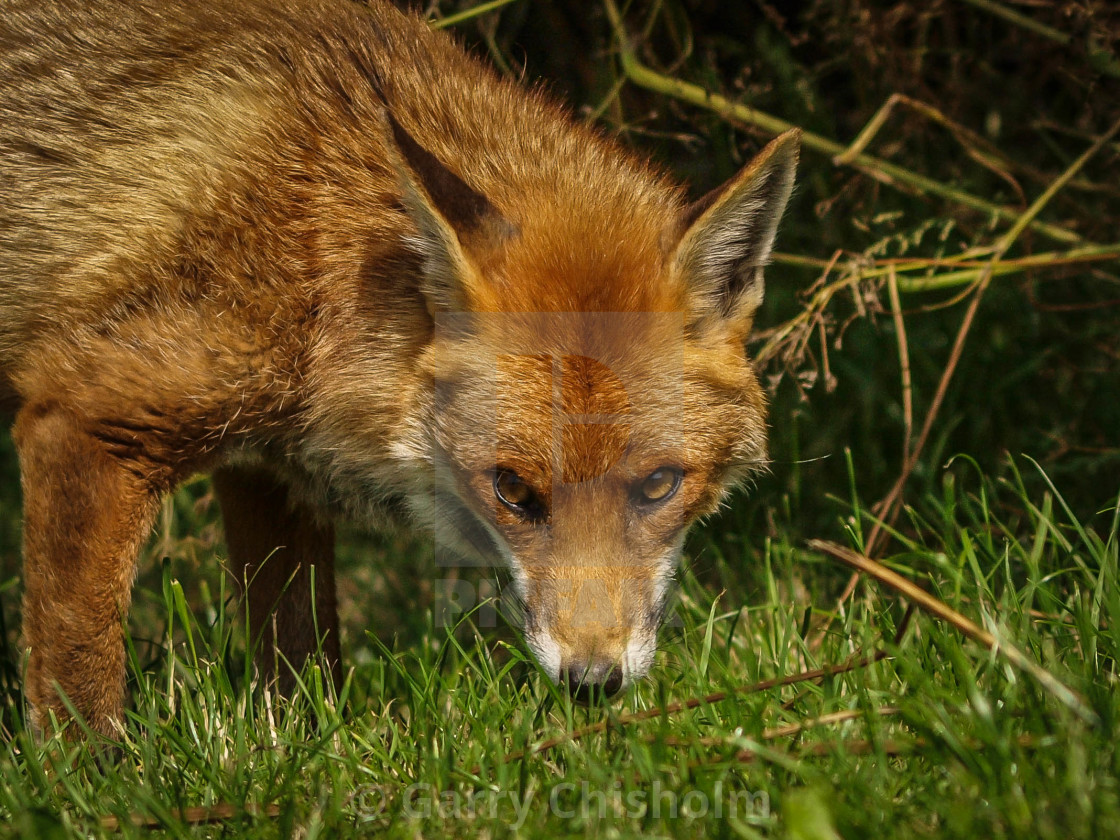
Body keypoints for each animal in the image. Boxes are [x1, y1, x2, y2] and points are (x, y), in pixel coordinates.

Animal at [4, 0, 801, 734]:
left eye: (659, 485)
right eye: (513, 492)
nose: (592, 682)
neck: (317, 262)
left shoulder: (266, 473)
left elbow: (298, 653)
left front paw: (301, 749)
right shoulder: (87, 413)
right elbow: (78, 675)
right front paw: (91, 777)